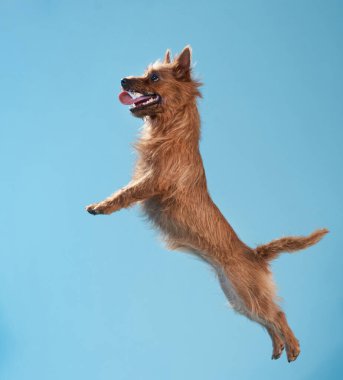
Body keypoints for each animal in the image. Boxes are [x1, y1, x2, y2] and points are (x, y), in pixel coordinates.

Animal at [86, 46, 328, 362]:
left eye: (153, 77)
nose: (124, 80)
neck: (172, 130)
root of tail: (255, 254)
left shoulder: (154, 182)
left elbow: (126, 193)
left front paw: (100, 206)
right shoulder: (144, 174)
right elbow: (127, 187)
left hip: (248, 293)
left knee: (279, 315)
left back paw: (294, 348)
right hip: (239, 298)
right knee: (267, 322)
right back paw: (277, 348)